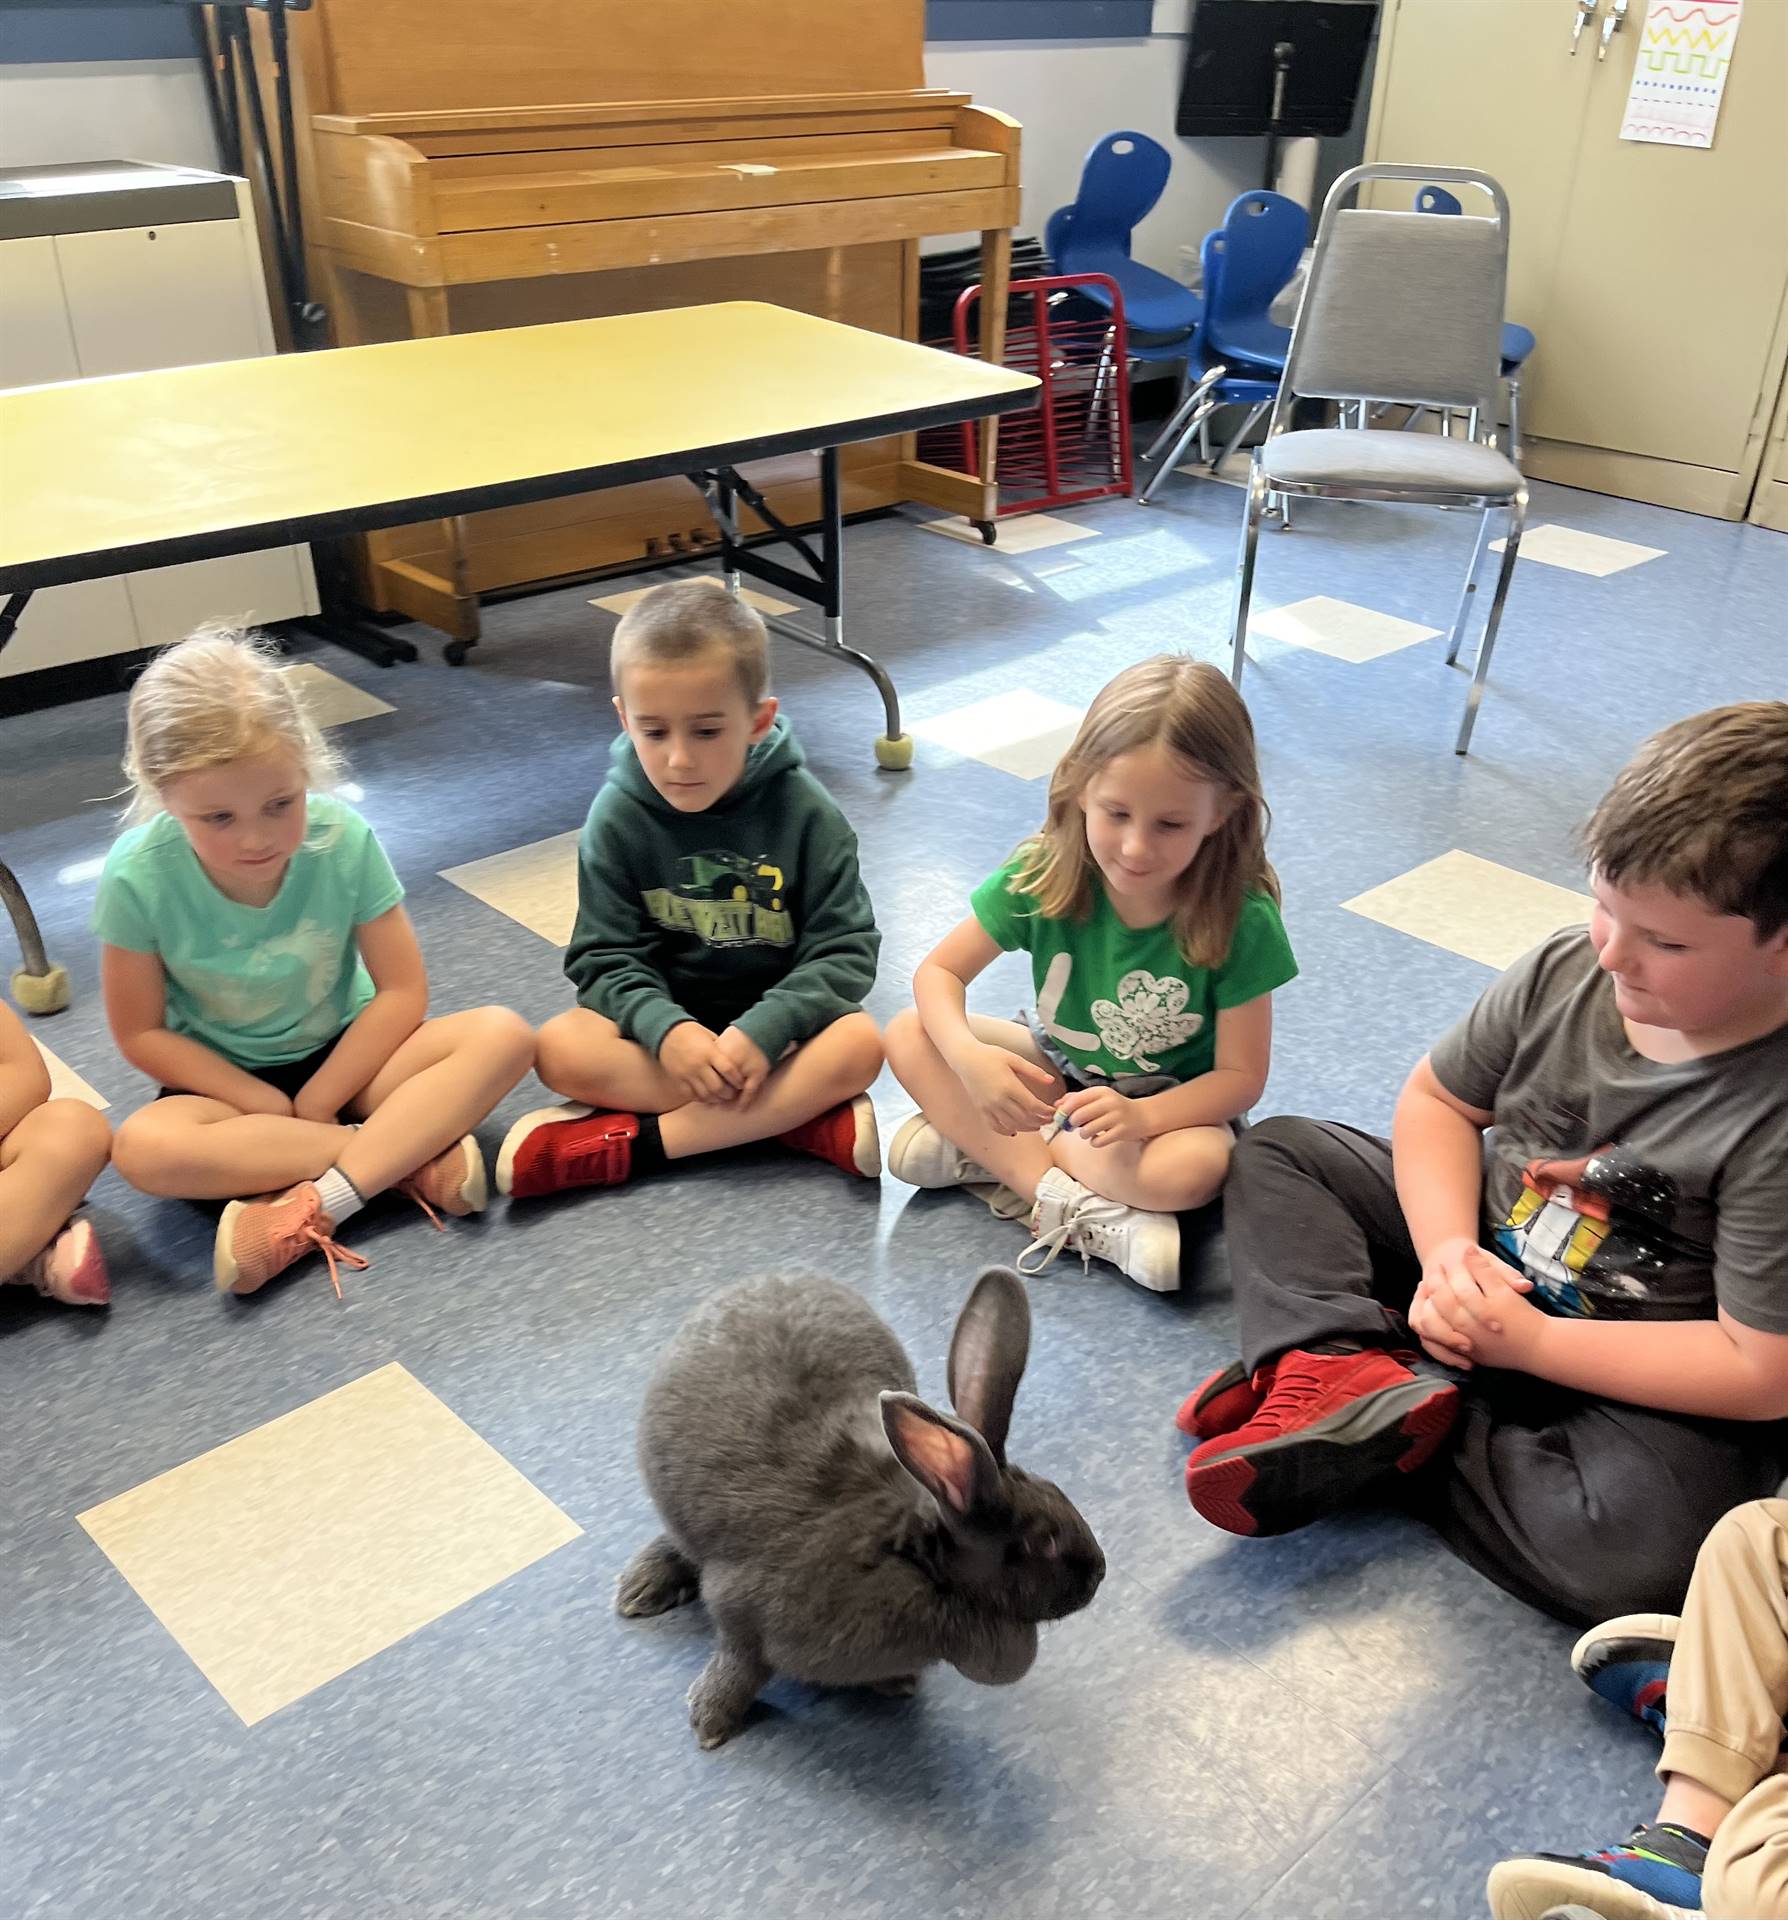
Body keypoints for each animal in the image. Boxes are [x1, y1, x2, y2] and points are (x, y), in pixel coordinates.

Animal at [622, 1267, 1113, 1751]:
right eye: (1044, 1542)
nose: (1099, 1574)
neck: (913, 1556)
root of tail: (771, 1276)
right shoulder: (740, 1612)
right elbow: (739, 1663)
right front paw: (709, 1720)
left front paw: (896, 1682)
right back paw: (639, 1587)